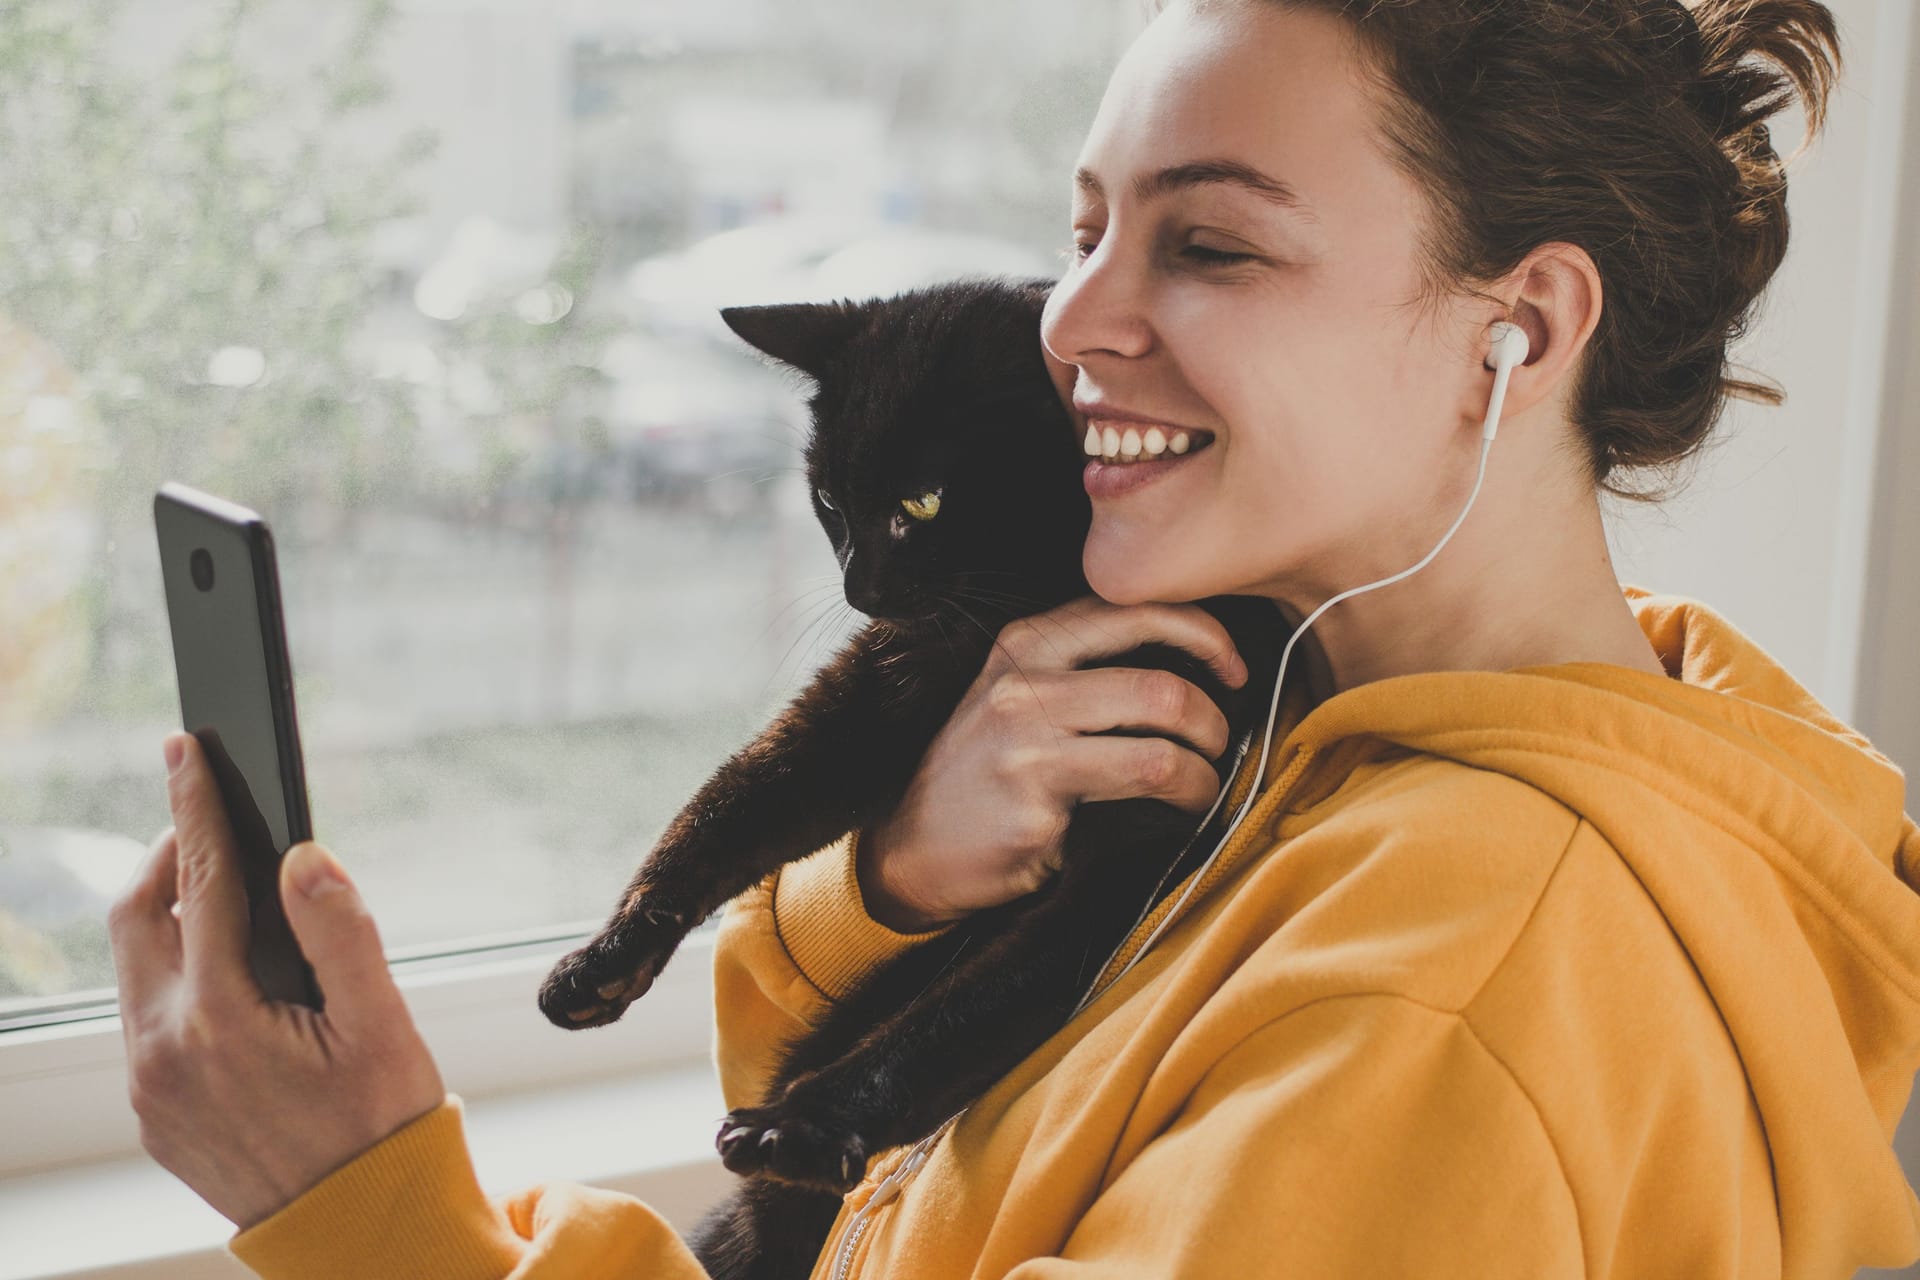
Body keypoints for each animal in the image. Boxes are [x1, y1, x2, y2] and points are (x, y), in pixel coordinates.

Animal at [537, 276, 1290, 1274]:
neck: (1002, 624)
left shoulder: (1133, 847)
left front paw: (804, 1127)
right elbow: (727, 809)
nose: (860, 589)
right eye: (829, 501)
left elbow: (956, 1014)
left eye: (924, 503)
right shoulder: (857, 711)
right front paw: (605, 958)